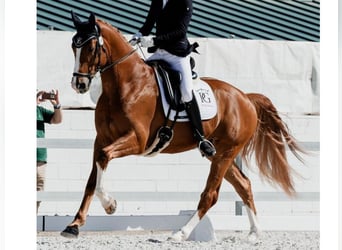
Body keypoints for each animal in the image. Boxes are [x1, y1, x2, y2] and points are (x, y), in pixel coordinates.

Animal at [60, 12, 302, 241]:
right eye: (73, 45)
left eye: (91, 47)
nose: (79, 84)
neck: (126, 85)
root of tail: (245, 97)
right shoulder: (101, 139)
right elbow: (92, 179)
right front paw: (74, 225)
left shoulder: (138, 140)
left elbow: (103, 159)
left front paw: (110, 205)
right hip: (219, 153)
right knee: (243, 184)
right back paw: (254, 232)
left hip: (226, 152)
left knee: (210, 195)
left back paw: (180, 233)